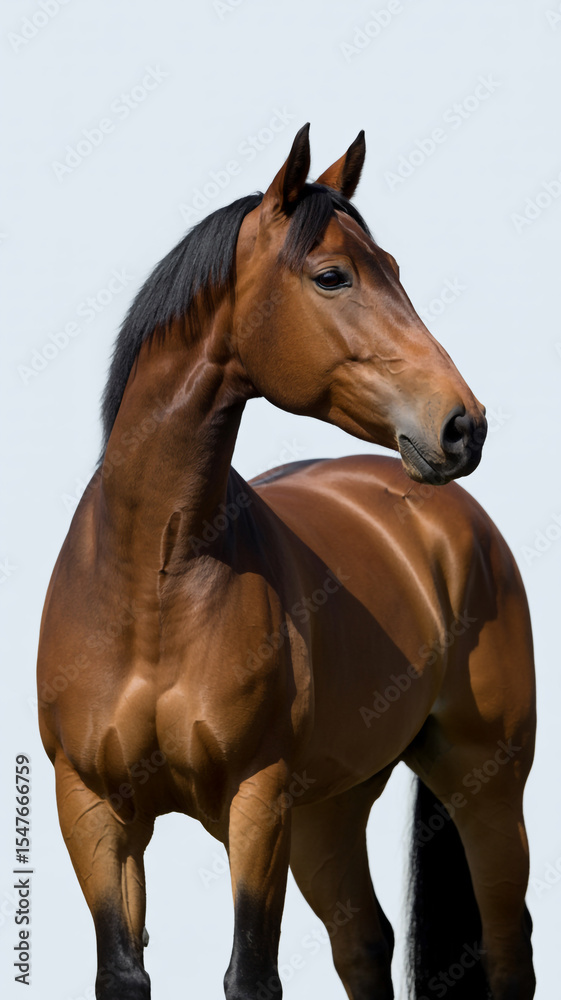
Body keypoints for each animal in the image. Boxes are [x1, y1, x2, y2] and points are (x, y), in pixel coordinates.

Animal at [37, 124, 536, 1000]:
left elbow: (251, 974)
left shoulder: (255, 798)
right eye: (332, 275)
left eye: (394, 267)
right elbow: (123, 972)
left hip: (487, 785)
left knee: (508, 953)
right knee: (364, 942)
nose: (461, 426)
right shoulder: (91, 806)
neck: (150, 579)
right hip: (328, 810)